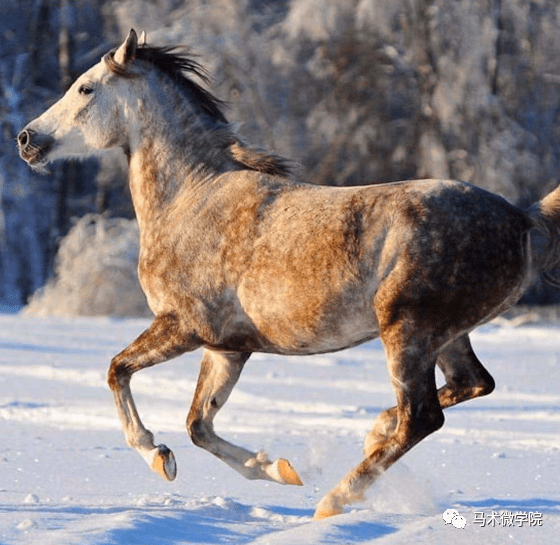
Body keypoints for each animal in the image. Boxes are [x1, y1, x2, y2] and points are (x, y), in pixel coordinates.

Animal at [16, 29, 560, 520]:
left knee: (422, 417)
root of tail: (521, 218)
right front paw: (279, 469)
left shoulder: (183, 327)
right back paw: (370, 436)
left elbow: (117, 371)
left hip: (408, 332)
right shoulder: (228, 347)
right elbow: (199, 425)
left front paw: (157, 456)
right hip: (446, 336)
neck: (190, 199)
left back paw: (334, 500)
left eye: (86, 88)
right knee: (471, 385)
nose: (27, 139)